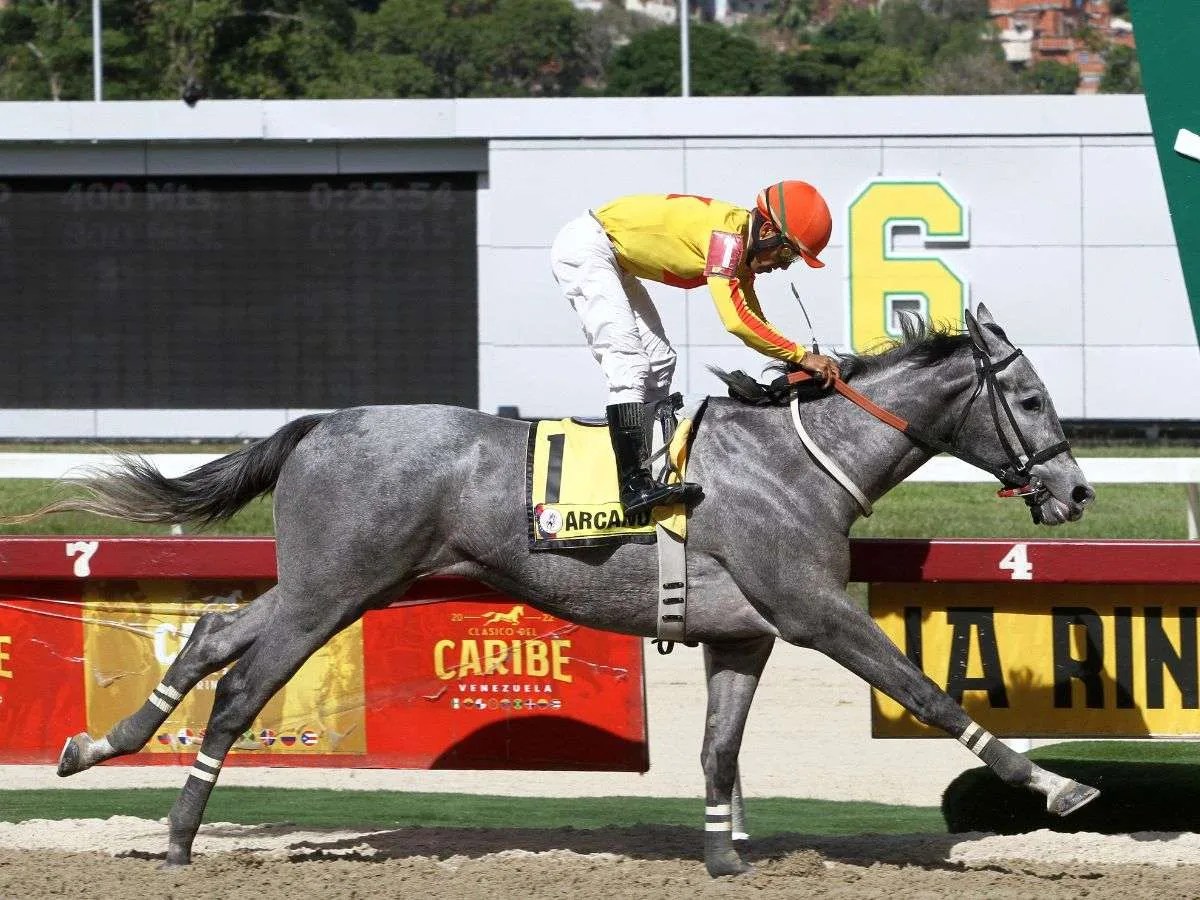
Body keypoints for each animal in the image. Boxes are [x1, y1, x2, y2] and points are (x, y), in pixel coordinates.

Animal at [37, 307, 1094, 878]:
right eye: (1031, 399)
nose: (1076, 491)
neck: (798, 462)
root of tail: (320, 424)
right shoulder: (814, 613)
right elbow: (923, 691)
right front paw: (1057, 784)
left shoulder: (742, 635)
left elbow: (719, 749)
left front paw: (724, 855)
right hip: (333, 589)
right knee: (242, 690)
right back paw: (178, 834)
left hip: (341, 582)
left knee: (213, 630)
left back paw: (98, 745)